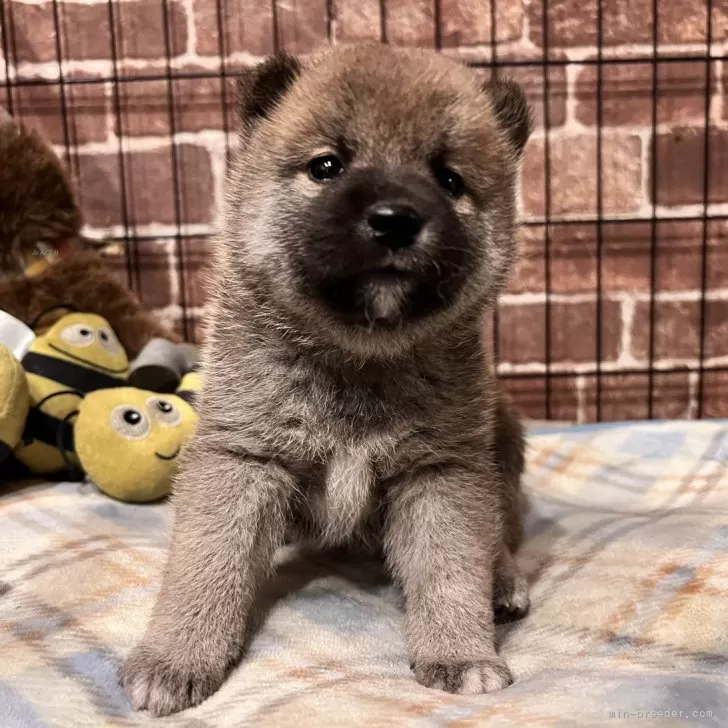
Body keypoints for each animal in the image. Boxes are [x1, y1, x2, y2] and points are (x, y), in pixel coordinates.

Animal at [119, 42, 532, 712]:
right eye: (327, 166)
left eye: (449, 179)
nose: (396, 219)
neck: (355, 359)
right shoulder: (243, 459)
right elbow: (204, 567)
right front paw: (175, 658)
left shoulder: (442, 472)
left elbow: (450, 571)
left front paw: (461, 653)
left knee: (501, 536)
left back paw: (502, 580)